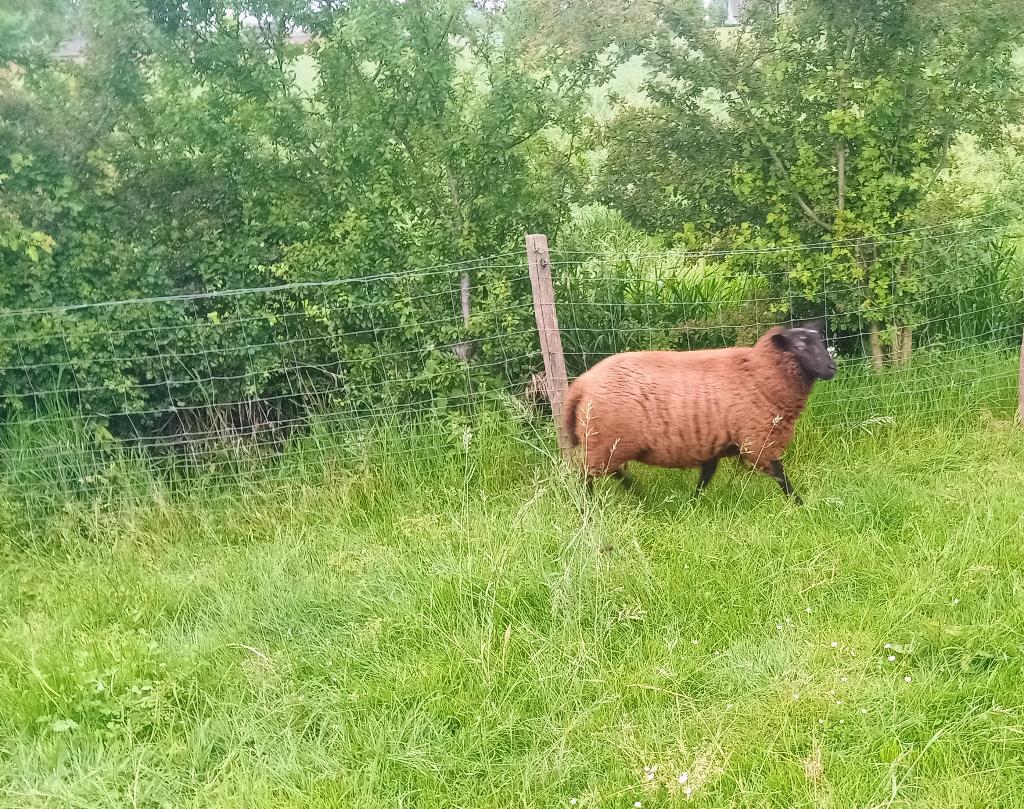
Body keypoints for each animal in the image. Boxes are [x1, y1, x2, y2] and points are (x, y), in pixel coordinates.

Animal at [563, 320, 836, 503]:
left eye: (822, 342)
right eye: (800, 346)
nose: (833, 368)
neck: (760, 376)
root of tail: (582, 384)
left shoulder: (714, 442)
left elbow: (706, 477)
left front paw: (693, 503)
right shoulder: (757, 441)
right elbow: (781, 475)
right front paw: (799, 504)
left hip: (608, 444)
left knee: (613, 473)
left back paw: (639, 493)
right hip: (605, 441)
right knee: (586, 477)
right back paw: (590, 507)